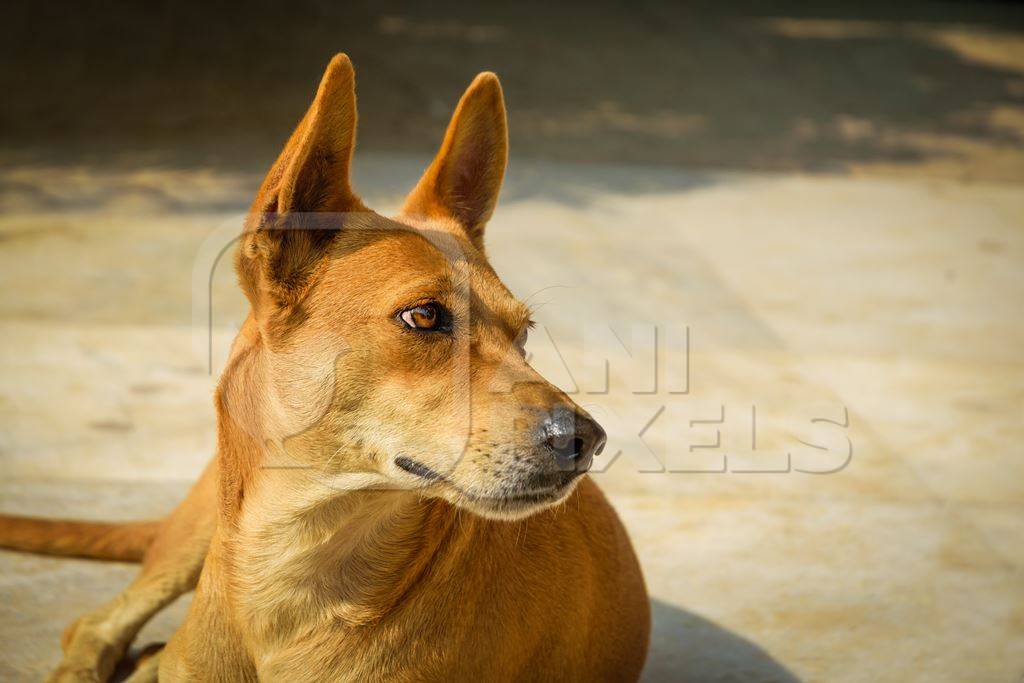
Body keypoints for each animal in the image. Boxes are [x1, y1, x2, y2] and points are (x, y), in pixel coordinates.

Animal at [0, 54, 651, 683]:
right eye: (423, 315)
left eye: (524, 336)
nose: (586, 440)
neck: (292, 573)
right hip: (196, 530)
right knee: (93, 624)